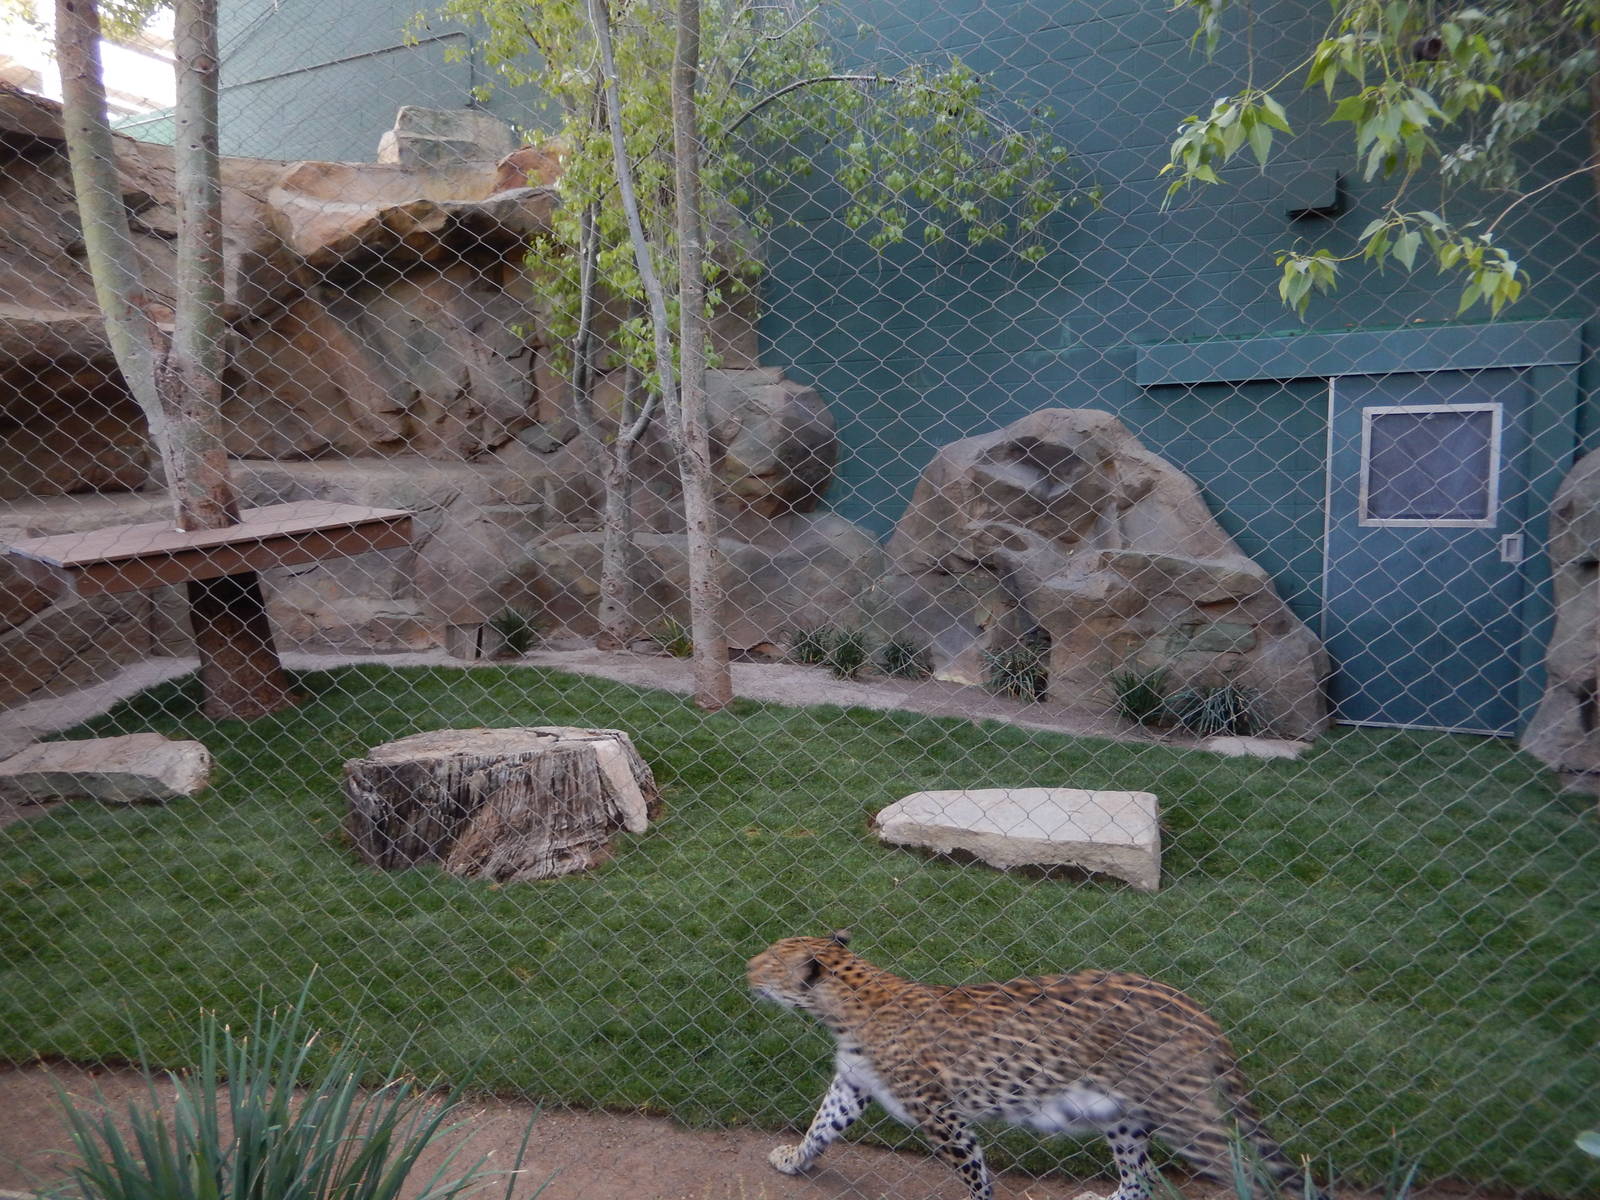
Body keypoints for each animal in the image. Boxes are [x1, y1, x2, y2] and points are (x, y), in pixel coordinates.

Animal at [747, 931, 1326, 1200]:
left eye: (769, 961)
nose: (745, 968)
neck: (846, 1009)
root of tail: (1199, 1011)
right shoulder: (855, 1085)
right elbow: (823, 1126)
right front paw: (795, 1160)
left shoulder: (943, 1116)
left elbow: (976, 1175)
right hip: (1126, 1115)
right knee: (1140, 1178)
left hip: (1185, 1114)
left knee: (1245, 1170)